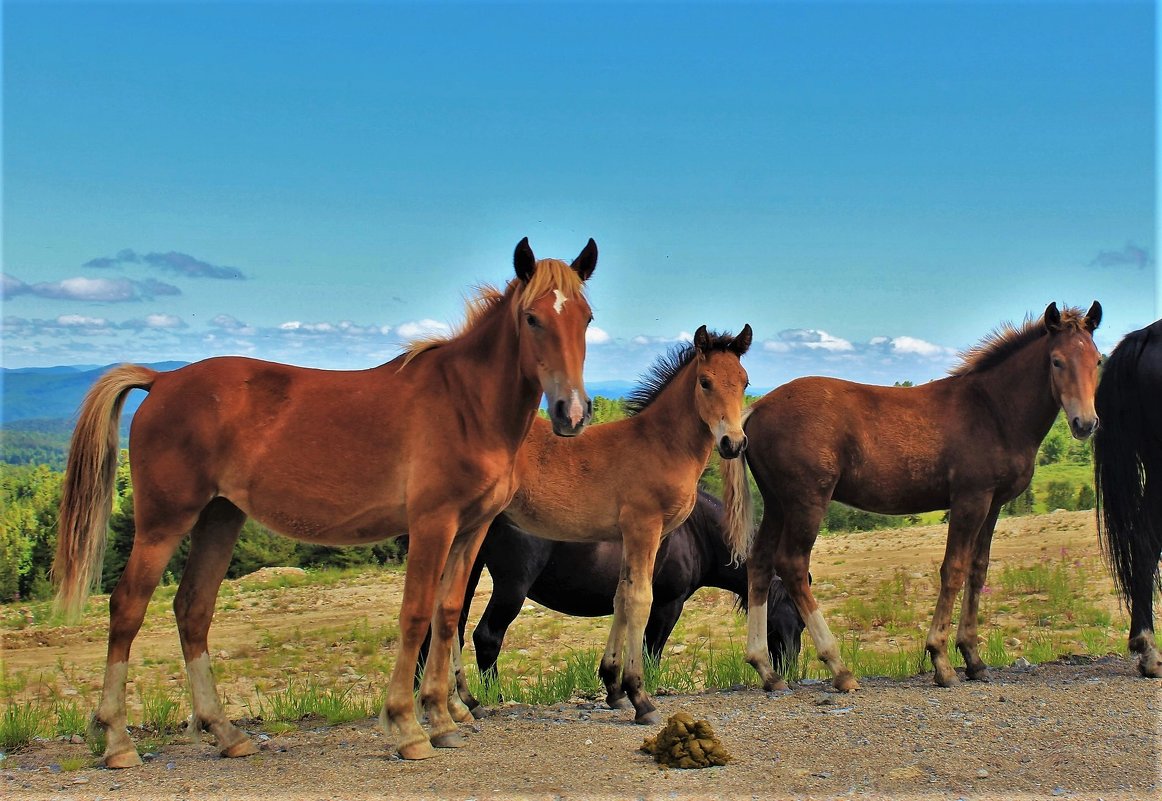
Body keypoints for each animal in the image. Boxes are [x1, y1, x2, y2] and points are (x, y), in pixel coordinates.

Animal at [52, 235, 599, 762]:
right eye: (532, 318)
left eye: (586, 318)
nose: (571, 413)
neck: (466, 403)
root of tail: (162, 380)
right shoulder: (432, 525)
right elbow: (415, 615)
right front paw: (407, 726)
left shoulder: (470, 530)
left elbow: (445, 618)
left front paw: (442, 720)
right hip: (165, 522)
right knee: (128, 607)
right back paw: (118, 741)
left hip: (219, 518)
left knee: (193, 611)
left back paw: (226, 734)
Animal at [418, 483, 808, 702]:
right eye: (799, 618)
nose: (791, 667)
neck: (695, 529)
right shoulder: (669, 604)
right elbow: (652, 649)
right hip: (512, 585)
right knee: (487, 637)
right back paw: (491, 698)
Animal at [448, 320, 748, 720]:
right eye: (705, 382)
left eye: (744, 382)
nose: (733, 443)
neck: (660, 445)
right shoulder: (644, 530)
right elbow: (640, 600)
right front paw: (639, 696)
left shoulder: (630, 538)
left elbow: (621, 596)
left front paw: (614, 688)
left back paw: (464, 701)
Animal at [720, 302, 1101, 688]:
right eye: (1056, 361)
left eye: (1097, 360)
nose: (1085, 423)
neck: (993, 410)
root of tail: (756, 409)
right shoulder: (970, 499)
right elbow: (954, 569)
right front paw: (942, 661)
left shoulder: (992, 504)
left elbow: (978, 570)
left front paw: (974, 659)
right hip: (807, 501)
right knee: (793, 564)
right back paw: (839, 667)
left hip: (778, 504)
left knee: (760, 562)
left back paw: (765, 669)